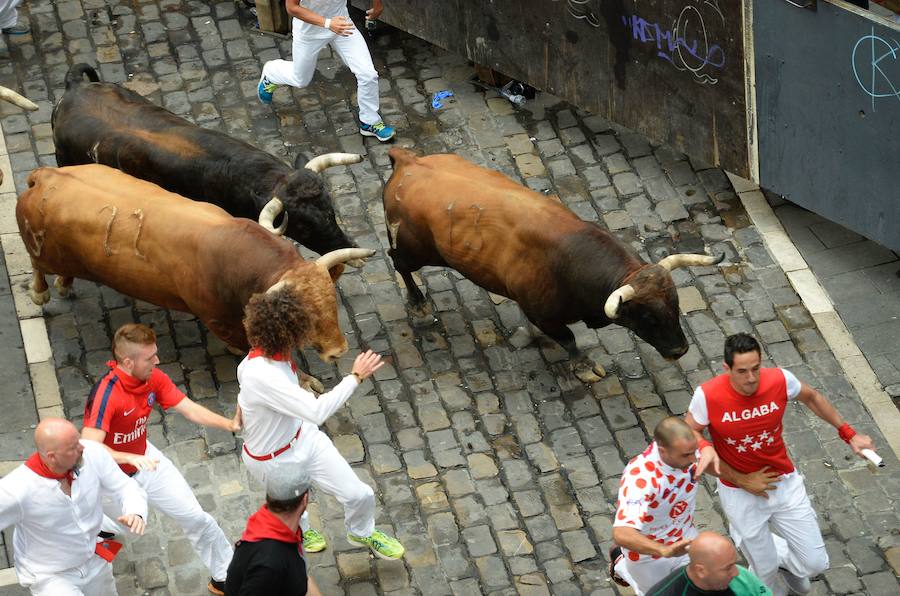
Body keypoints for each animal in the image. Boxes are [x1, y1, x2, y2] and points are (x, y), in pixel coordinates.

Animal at [16, 163, 372, 360]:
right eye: (301, 316)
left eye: (332, 302)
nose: (339, 350)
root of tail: (45, 176)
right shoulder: (220, 323)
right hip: (42, 252)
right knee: (37, 266)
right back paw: (42, 291)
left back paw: (64, 283)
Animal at [384, 149, 720, 382]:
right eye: (647, 316)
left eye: (676, 305)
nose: (680, 350)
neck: (572, 260)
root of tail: (409, 160)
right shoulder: (542, 313)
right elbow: (568, 340)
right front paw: (583, 366)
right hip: (415, 250)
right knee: (398, 262)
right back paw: (418, 304)